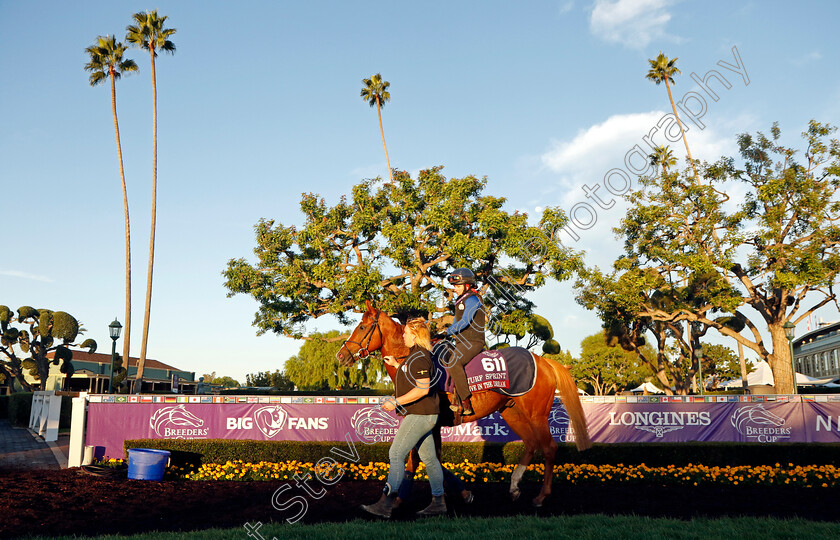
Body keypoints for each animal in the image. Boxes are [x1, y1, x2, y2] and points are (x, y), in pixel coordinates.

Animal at [334, 304, 592, 506]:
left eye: (362, 327)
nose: (340, 355)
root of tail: (545, 362)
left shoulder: (426, 422)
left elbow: (415, 459)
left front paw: (396, 498)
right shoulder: (433, 426)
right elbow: (434, 458)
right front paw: (463, 493)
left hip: (536, 414)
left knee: (549, 448)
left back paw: (541, 496)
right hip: (512, 412)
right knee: (531, 444)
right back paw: (514, 487)